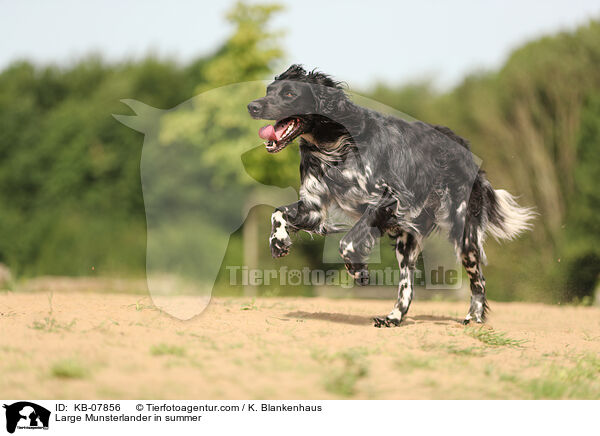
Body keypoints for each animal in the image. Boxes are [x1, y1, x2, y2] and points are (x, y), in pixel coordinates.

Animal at [248, 64, 536, 328]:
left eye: (289, 93)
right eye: (269, 90)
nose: (252, 106)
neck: (334, 143)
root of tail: (464, 147)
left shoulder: (386, 199)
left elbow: (348, 242)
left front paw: (357, 270)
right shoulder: (314, 207)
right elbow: (277, 213)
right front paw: (278, 242)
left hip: (462, 234)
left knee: (479, 280)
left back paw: (474, 317)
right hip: (407, 243)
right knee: (407, 285)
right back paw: (394, 318)